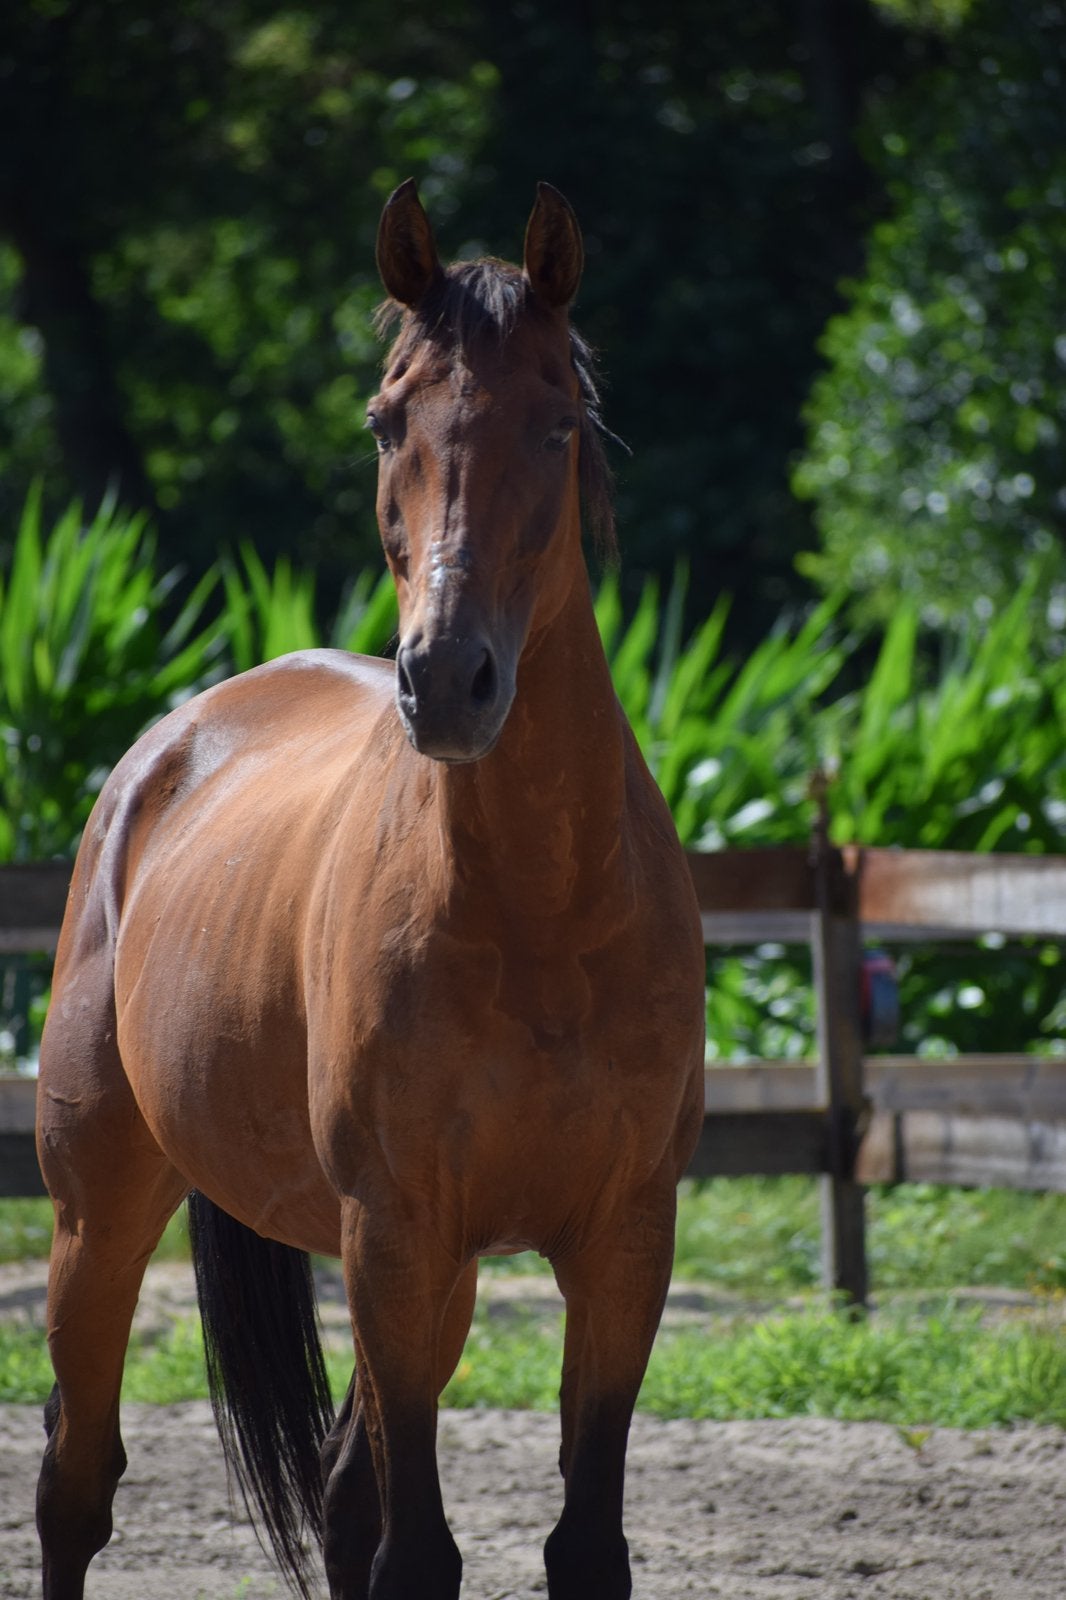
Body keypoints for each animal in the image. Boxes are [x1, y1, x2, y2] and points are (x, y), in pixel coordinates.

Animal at [35, 180, 706, 1600]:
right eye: (387, 418)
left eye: (558, 421)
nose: (445, 679)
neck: (541, 914)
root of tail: (169, 746)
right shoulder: (396, 1234)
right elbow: (418, 1555)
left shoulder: (623, 1243)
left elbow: (581, 1542)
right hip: (99, 1214)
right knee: (74, 1482)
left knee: (340, 1499)